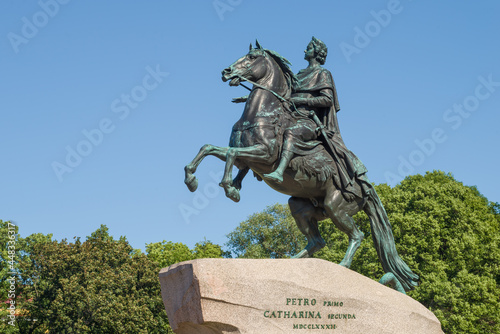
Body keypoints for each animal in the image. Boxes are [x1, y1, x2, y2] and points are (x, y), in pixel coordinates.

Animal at [184, 42, 418, 292]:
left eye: (252, 57)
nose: (226, 72)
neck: (263, 113)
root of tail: (365, 186)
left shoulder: (264, 155)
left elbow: (230, 154)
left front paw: (230, 188)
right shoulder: (245, 158)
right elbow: (209, 148)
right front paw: (192, 180)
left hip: (336, 206)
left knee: (357, 235)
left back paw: (343, 265)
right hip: (300, 207)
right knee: (317, 241)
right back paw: (293, 262)